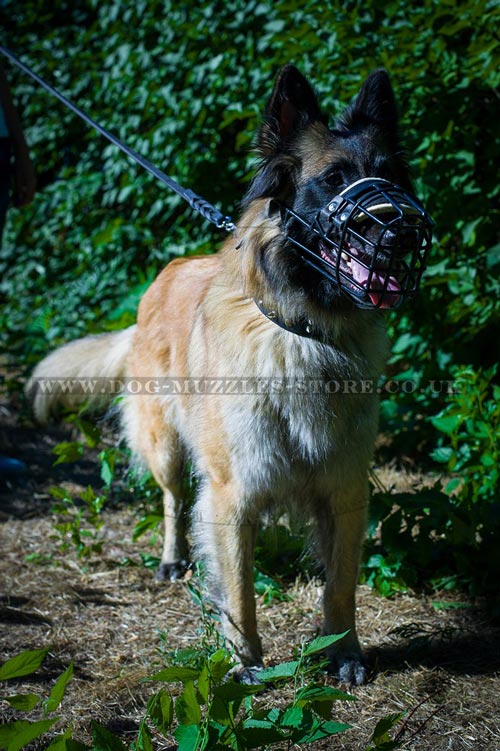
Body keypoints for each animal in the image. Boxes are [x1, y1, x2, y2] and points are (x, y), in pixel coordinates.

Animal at [27, 66, 432, 688]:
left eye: (389, 176)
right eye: (334, 179)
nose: (403, 231)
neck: (301, 331)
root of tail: (161, 278)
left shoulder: (343, 487)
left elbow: (339, 584)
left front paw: (343, 652)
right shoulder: (231, 492)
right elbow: (238, 588)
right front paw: (245, 661)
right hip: (167, 447)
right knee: (173, 501)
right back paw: (173, 559)